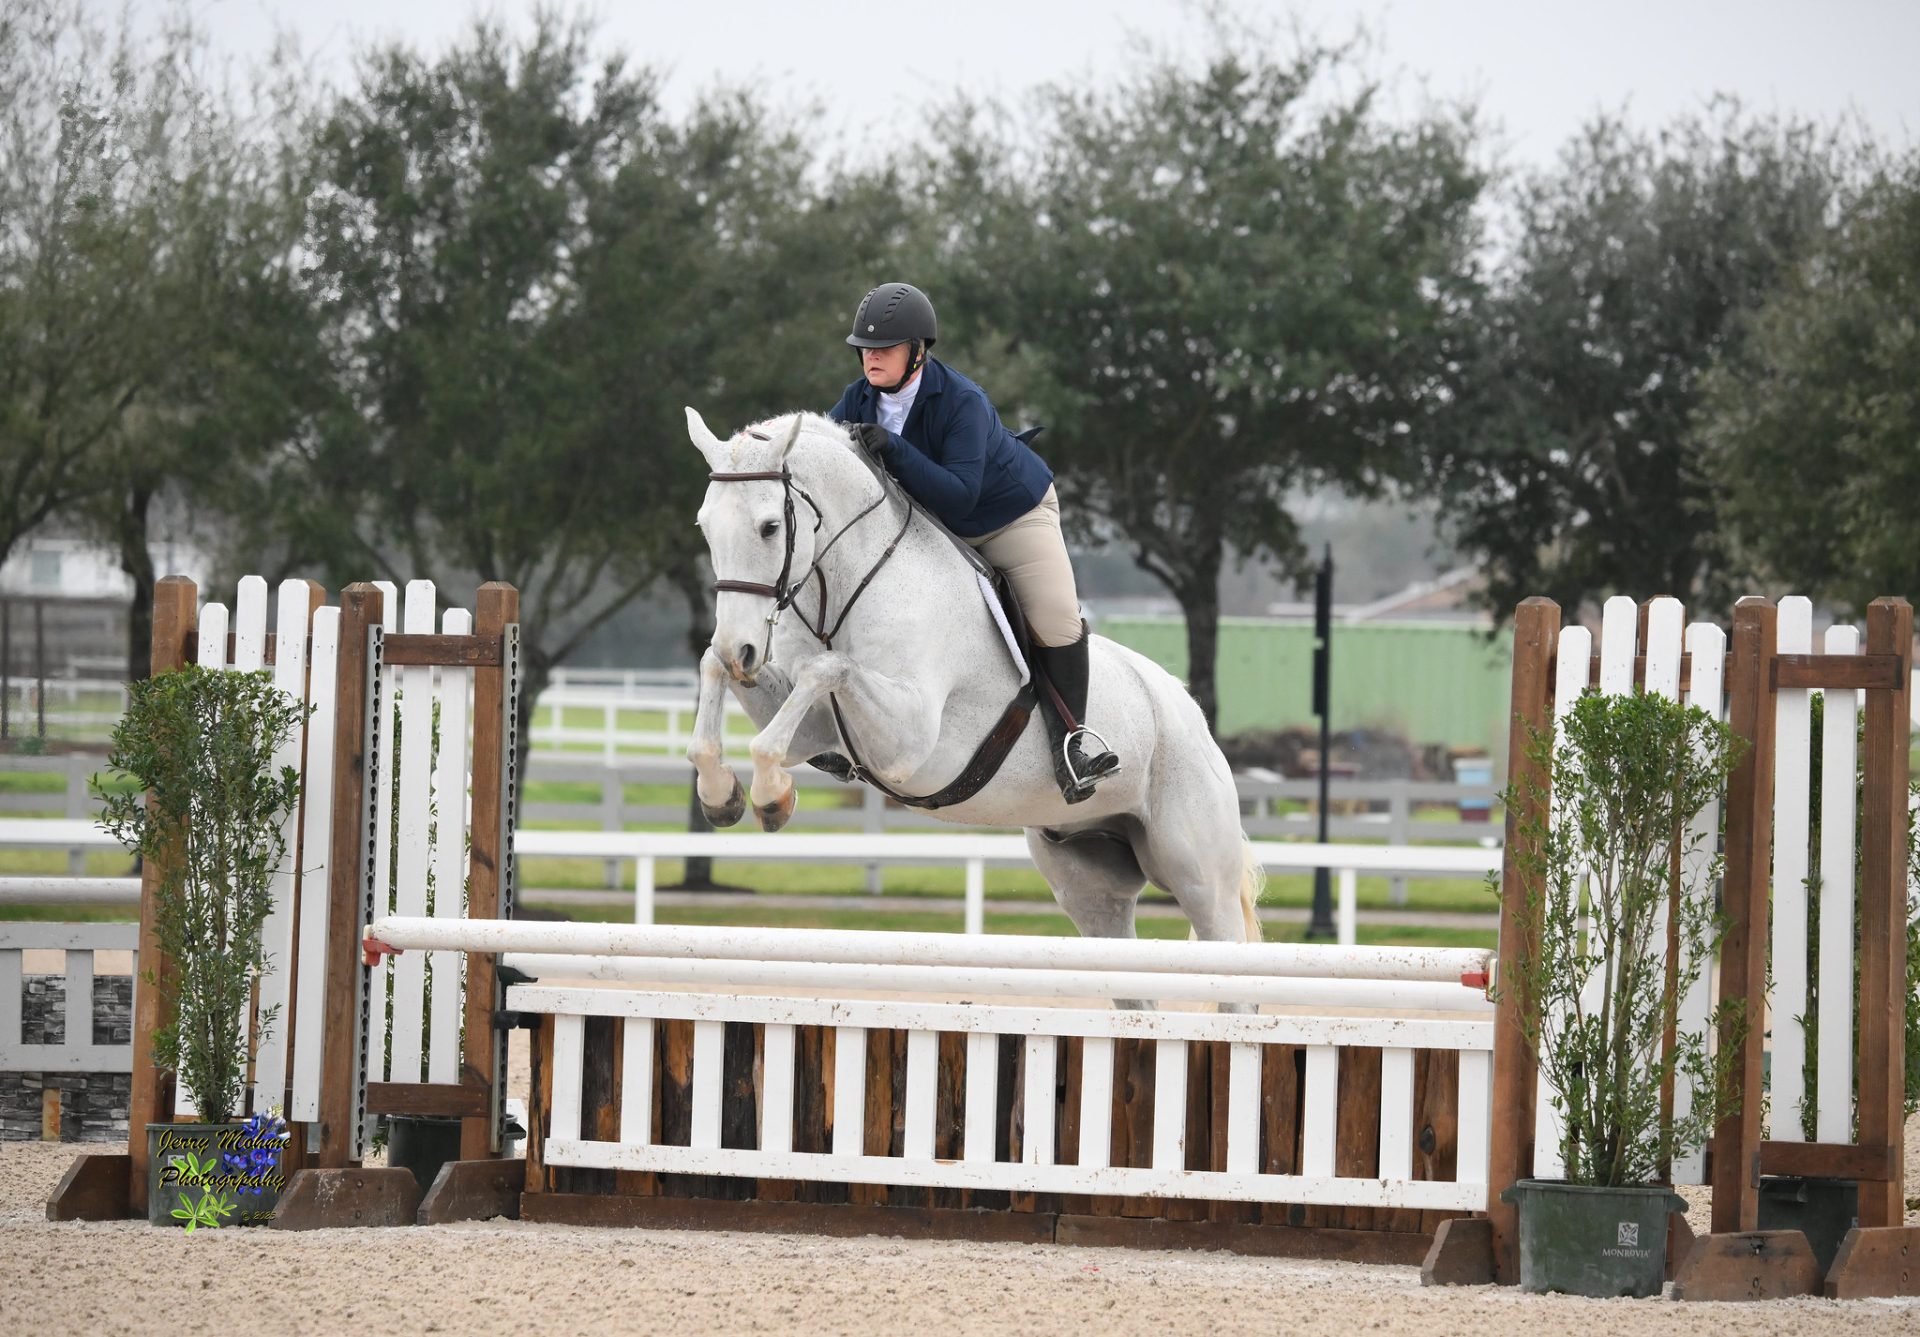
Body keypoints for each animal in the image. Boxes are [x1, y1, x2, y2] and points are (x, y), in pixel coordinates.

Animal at [683, 408, 1262, 948]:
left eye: (769, 527)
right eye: (705, 527)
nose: (743, 650)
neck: (849, 580)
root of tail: (1189, 712)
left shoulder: (909, 742)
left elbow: (823, 669)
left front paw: (770, 796)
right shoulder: (817, 729)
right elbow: (719, 669)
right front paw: (722, 793)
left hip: (1198, 875)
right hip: (1087, 877)